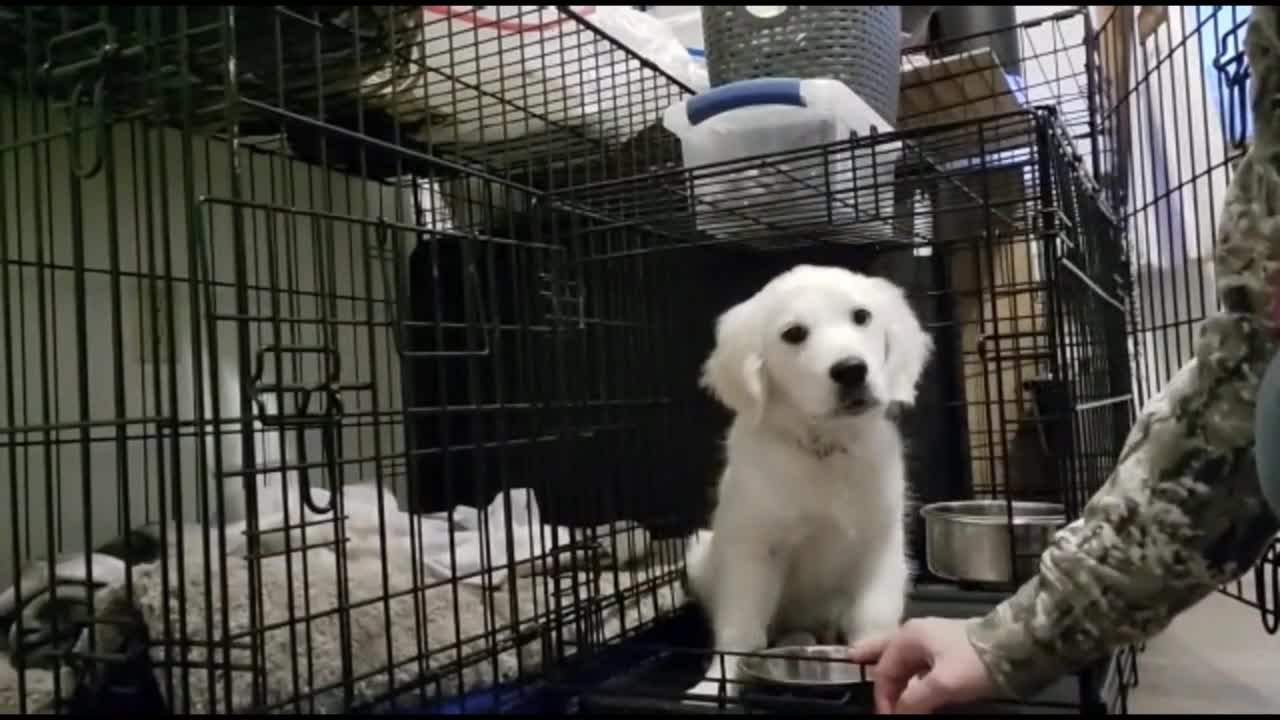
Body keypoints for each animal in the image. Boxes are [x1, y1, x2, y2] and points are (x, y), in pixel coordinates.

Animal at [691, 262, 931, 696]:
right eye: (794, 333)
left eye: (862, 316)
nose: (852, 370)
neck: (824, 450)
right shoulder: (753, 547)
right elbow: (740, 630)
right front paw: (715, 685)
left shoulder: (880, 543)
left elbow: (873, 618)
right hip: (700, 553)